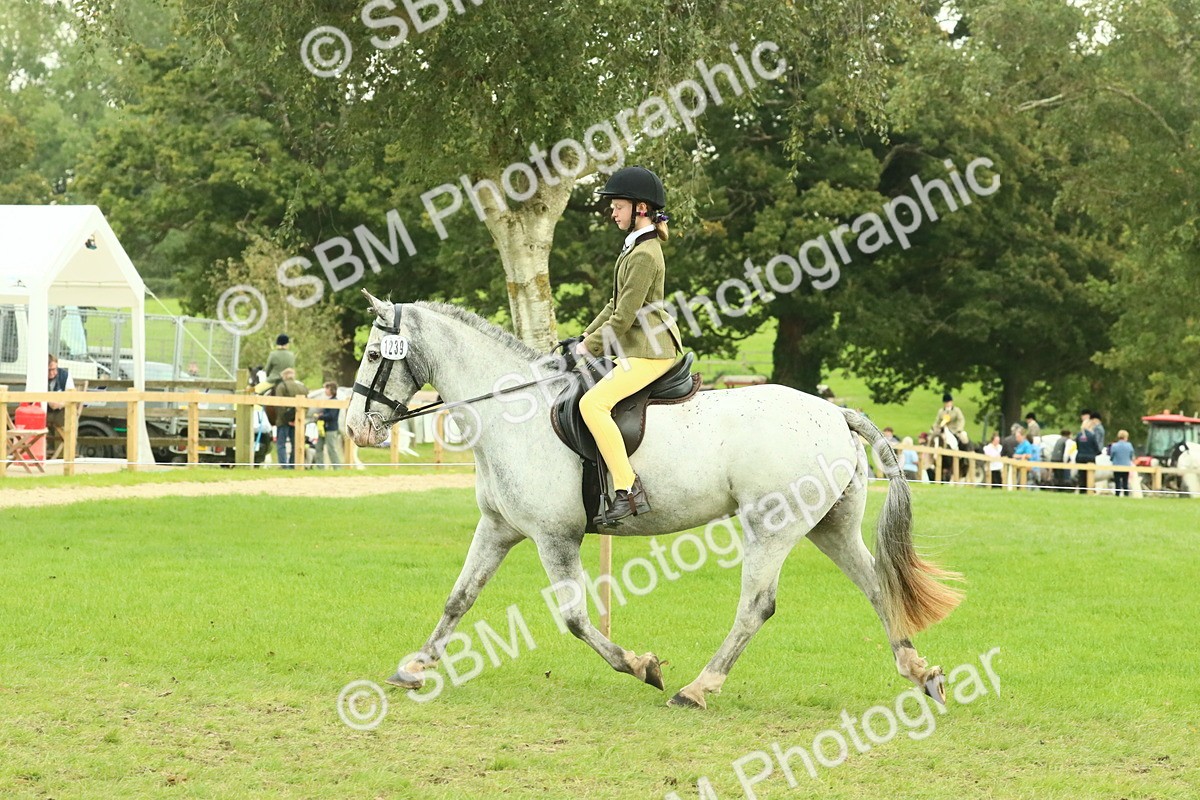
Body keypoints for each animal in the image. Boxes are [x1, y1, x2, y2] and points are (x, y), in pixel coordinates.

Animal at [345, 293, 963, 709]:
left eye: (374, 353)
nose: (354, 428)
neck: (512, 411)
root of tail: (835, 412)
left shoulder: (554, 535)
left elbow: (574, 618)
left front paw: (641, 666)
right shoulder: (499, 527)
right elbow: (459, 598)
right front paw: (414, 666)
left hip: (771, 526)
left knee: (756, 606)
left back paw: (696, 688)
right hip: (829, 525)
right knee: (876, 583)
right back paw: (920, 671)